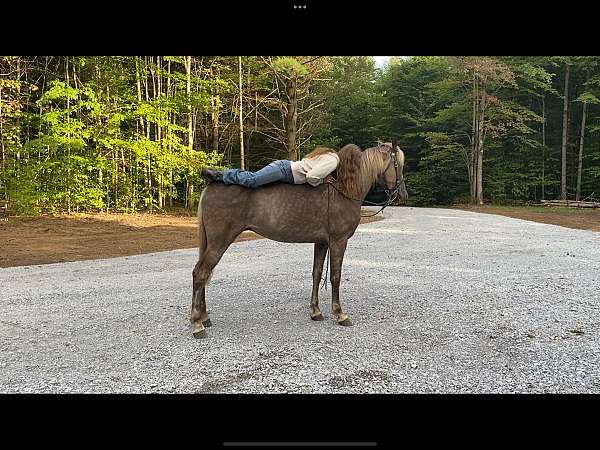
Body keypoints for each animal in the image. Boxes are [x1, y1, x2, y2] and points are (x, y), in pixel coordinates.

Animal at [192, 142, 408, 336]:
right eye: (398, 164)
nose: (403, 194)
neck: (344, 189)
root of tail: (210, 187)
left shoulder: (322, 242)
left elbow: (317, 273)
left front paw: (316, 312)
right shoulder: (339, 241)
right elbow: (335, 276)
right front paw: (340, 314)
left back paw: (204, 317)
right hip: (220, 241)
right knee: (201, 273)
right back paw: (197, 324)